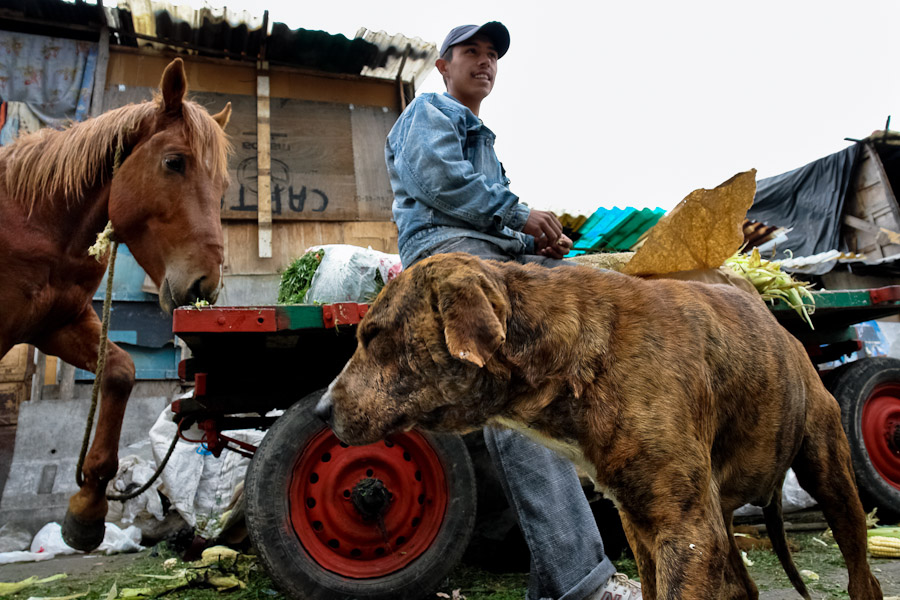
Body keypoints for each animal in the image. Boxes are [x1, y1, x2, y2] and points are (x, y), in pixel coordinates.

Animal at [0, 58, 236, 552]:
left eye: (223, 185)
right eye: (173, 162)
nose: (205, 285)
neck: (33, 222)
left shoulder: (60, 324)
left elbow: (121, 371)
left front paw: (88, 508)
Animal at [312, 253, 884, 600]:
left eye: (373, 336)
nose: (319, 410)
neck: (581, 355)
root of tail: (786, 333)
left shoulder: (685, 533)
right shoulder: (647, 525)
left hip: (831, 474)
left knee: (862, 574)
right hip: (721, 516)